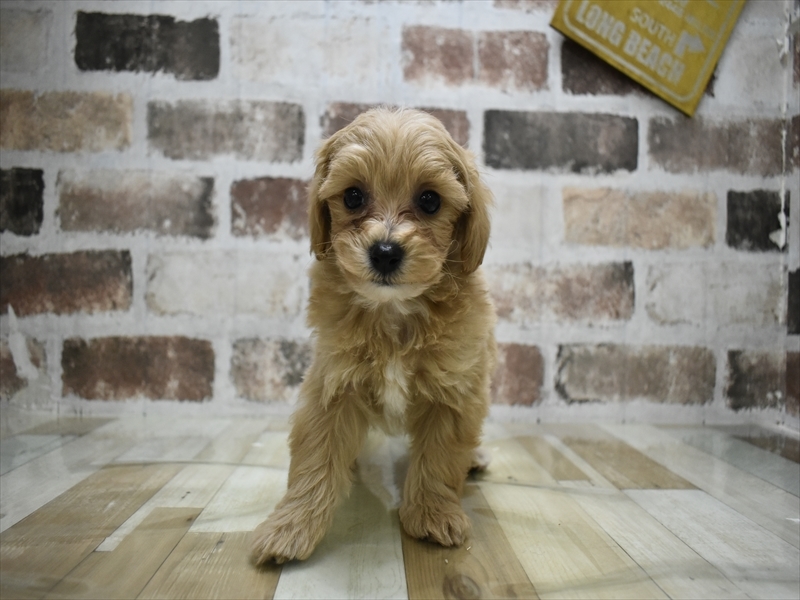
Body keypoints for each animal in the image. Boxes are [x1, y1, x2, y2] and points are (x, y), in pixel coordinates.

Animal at [251, 107, 496, 565]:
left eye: (430, 200)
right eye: (352, 196)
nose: (384, 252)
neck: (394, 312)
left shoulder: (454, 391)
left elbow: (440, 458)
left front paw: (432, 514)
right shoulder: (331, 384)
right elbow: (315, 459)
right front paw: (290, 528)